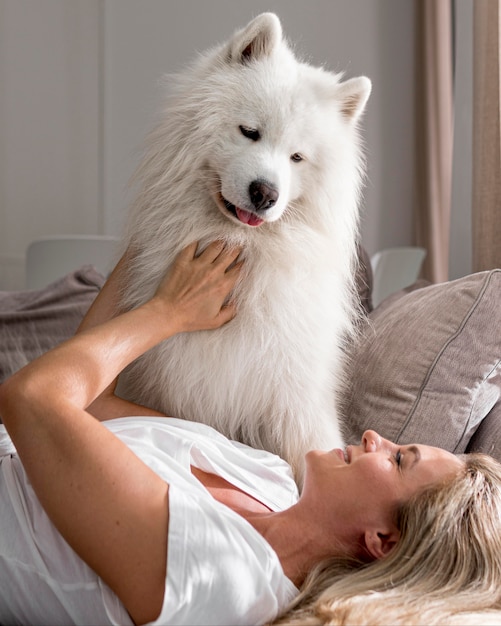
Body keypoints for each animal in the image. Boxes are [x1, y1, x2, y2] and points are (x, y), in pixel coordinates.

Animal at [118, 12, 372, 476]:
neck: (245, 248)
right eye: (249, 132)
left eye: (297, 157)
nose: (265, 194)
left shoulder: (294, 396)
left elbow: (313, 449)